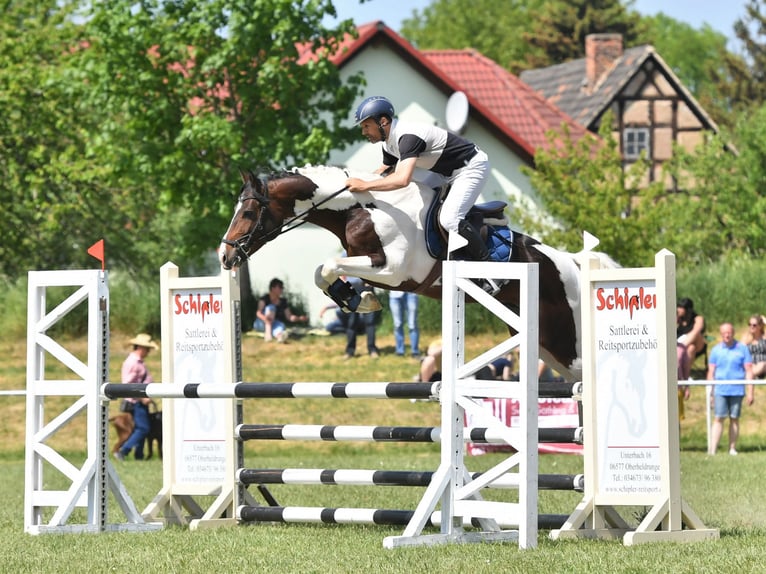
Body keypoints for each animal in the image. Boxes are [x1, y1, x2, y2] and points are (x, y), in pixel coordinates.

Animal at [218, 165, 590, 380]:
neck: (361, 208)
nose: (225, 255)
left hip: (565, 341)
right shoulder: (368, 264)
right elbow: (324, 271)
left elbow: (328, 266)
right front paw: (357, 299)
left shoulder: (393, 271)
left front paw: (359, 300)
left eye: (248, 213)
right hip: (542, 342)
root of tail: (571, 264)